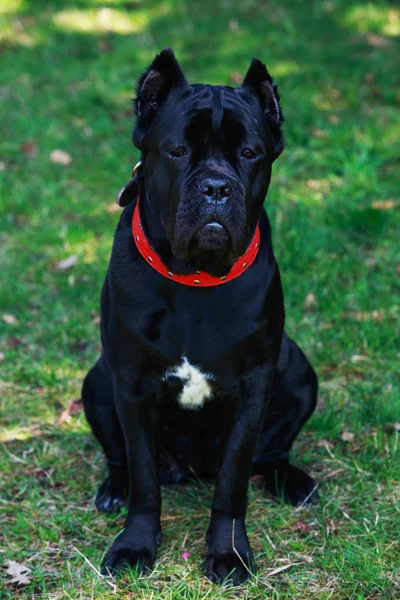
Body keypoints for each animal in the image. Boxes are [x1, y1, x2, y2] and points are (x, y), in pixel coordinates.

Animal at [82, 49, 318, 584]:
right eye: (176, 151)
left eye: (249, 153)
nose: (215, 188)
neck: (195, 280)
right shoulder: (130, 383)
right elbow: (144, 479)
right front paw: (135, 546)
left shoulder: (254, 385)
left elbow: (233, 481)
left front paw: (228, 553)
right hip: (97, 379)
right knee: (123, 459)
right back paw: (113, 488)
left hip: (299, 371)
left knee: (271, 453)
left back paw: (293, 481)